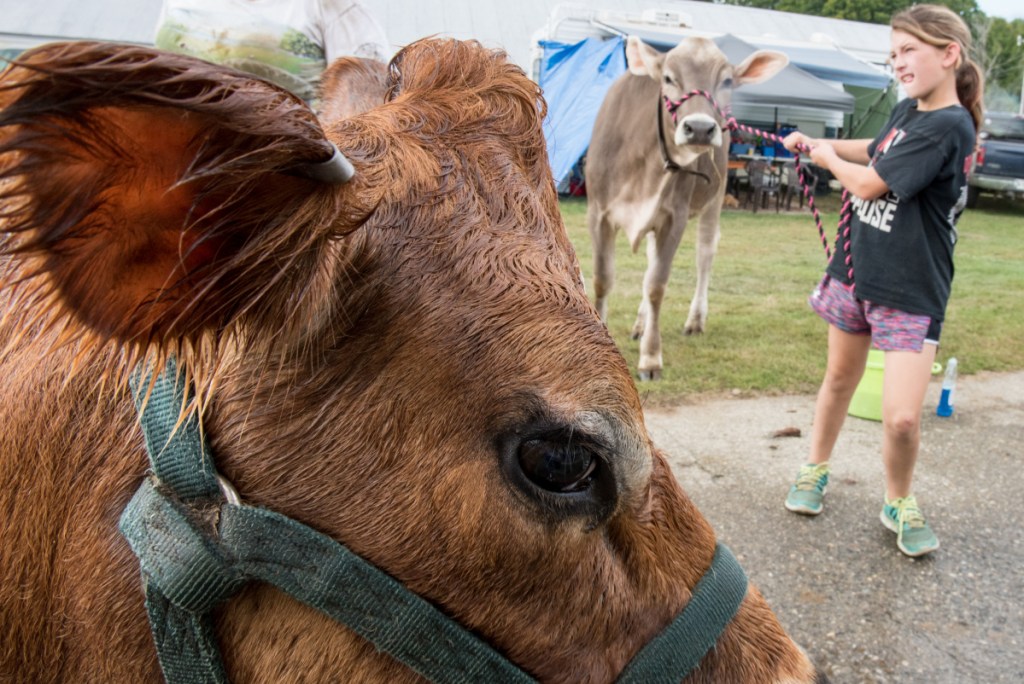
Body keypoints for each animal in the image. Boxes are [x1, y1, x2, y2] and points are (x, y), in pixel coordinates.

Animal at [586, 36, 788, 380]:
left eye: (727, 80)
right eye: (668, 78)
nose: (701, 128)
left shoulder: (674, 217)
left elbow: (656, 285)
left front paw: (651, 358)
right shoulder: (598, 213)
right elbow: (603, 279)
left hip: (716, 197)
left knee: (704, 254)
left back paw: (695, 320)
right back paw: (640, 324)